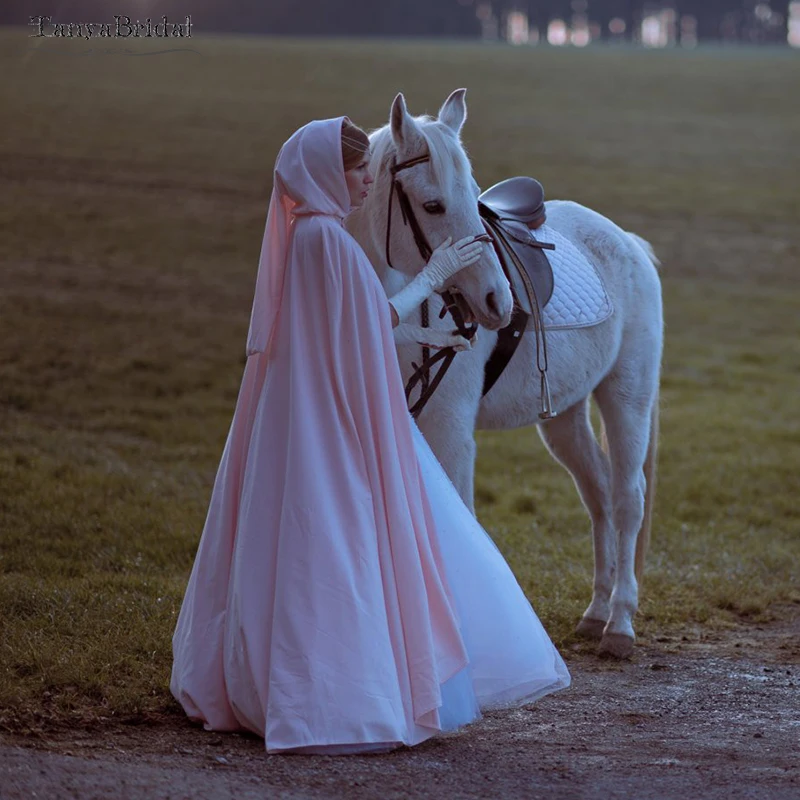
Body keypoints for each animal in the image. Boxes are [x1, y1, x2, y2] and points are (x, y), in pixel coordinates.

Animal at [346, 92, 664, 656]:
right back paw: (595, 612)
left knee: (627, 500)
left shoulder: (450, 427)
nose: (499, 300)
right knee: (599, 495)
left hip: (627, 399)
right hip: (564, 417)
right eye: (433, 205)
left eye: (475, 199)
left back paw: (620, 623)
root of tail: (627, 241)